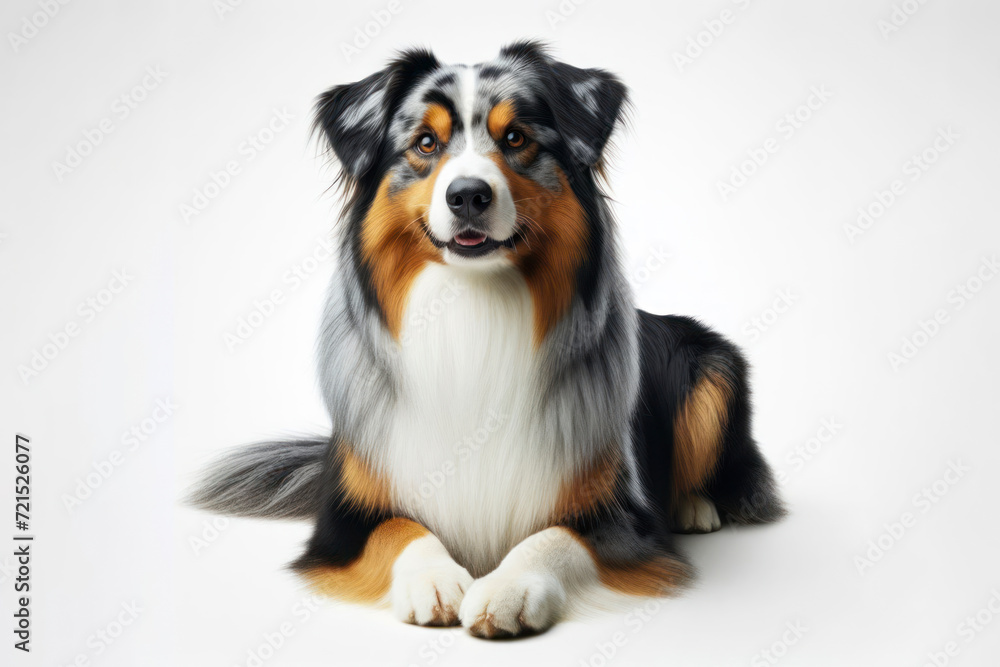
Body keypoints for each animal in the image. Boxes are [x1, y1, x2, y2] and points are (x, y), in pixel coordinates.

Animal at [191, 40, 784, 636]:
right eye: (425, 143)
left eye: (516, 138)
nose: (468, 196)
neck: (473, 302)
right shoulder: (344, 518)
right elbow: (400, 529)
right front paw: (434, 580)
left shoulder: (622, 515)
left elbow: (554, 537)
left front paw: (507, 588)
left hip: (715, 366)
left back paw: (694, 506)